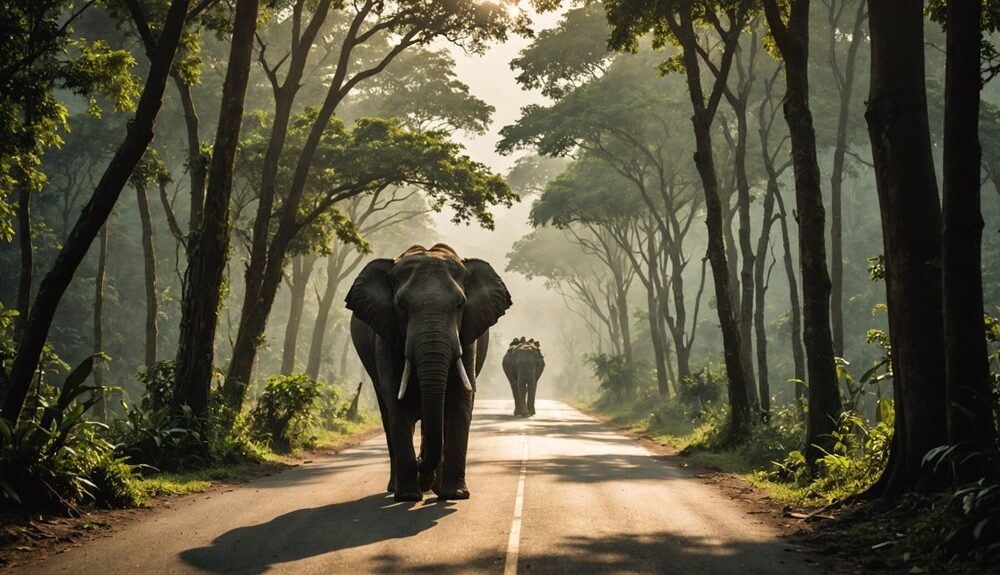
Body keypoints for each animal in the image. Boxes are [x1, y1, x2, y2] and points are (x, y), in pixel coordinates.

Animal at [348, 241, 512, 502]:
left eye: (460, 305)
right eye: (401, 306)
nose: (419, 462)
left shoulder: (468, 338)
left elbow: (459, 402)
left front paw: (455, 494)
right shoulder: (386, 336)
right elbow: (398, 405)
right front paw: (408, 496)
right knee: (387, 414)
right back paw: (399, 487)